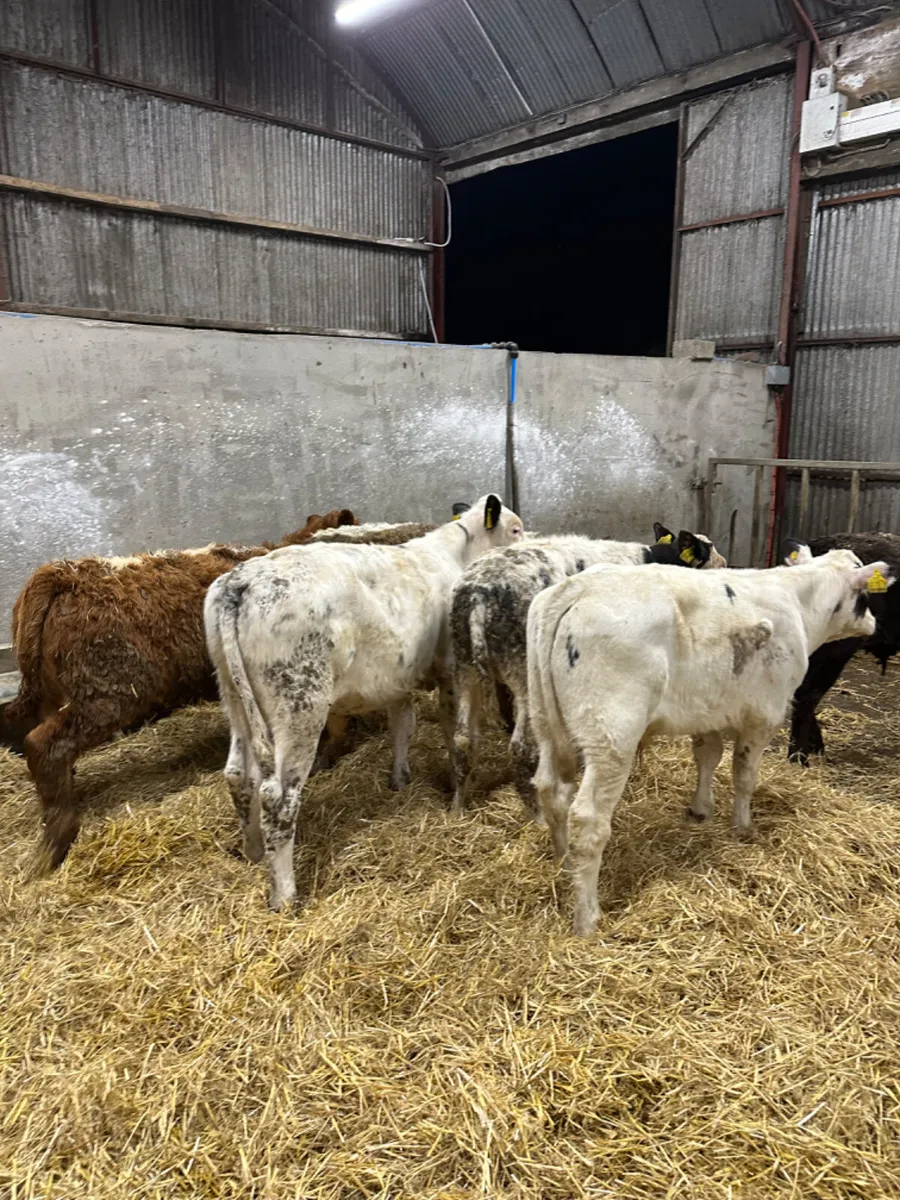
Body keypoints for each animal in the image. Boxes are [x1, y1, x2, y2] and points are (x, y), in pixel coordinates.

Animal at [204, 494, 524, 911]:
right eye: (515, 529)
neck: (455, 554)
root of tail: (241, 580)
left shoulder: (395, 678)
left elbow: (403, 724)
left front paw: (400, 780)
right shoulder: (451, 667)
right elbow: (455, 734)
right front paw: (458, 796)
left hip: (233, 697)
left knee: (237, 775)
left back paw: (253, 851)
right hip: (298, 702)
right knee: (279, 796)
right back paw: (285, 894)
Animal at [449, 526, 726, 813]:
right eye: (706, 555)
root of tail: (479, 592)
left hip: (463, 665)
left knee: (462, 740)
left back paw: (457, 807)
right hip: (522, 670)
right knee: (520, 747)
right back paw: (535, 812)